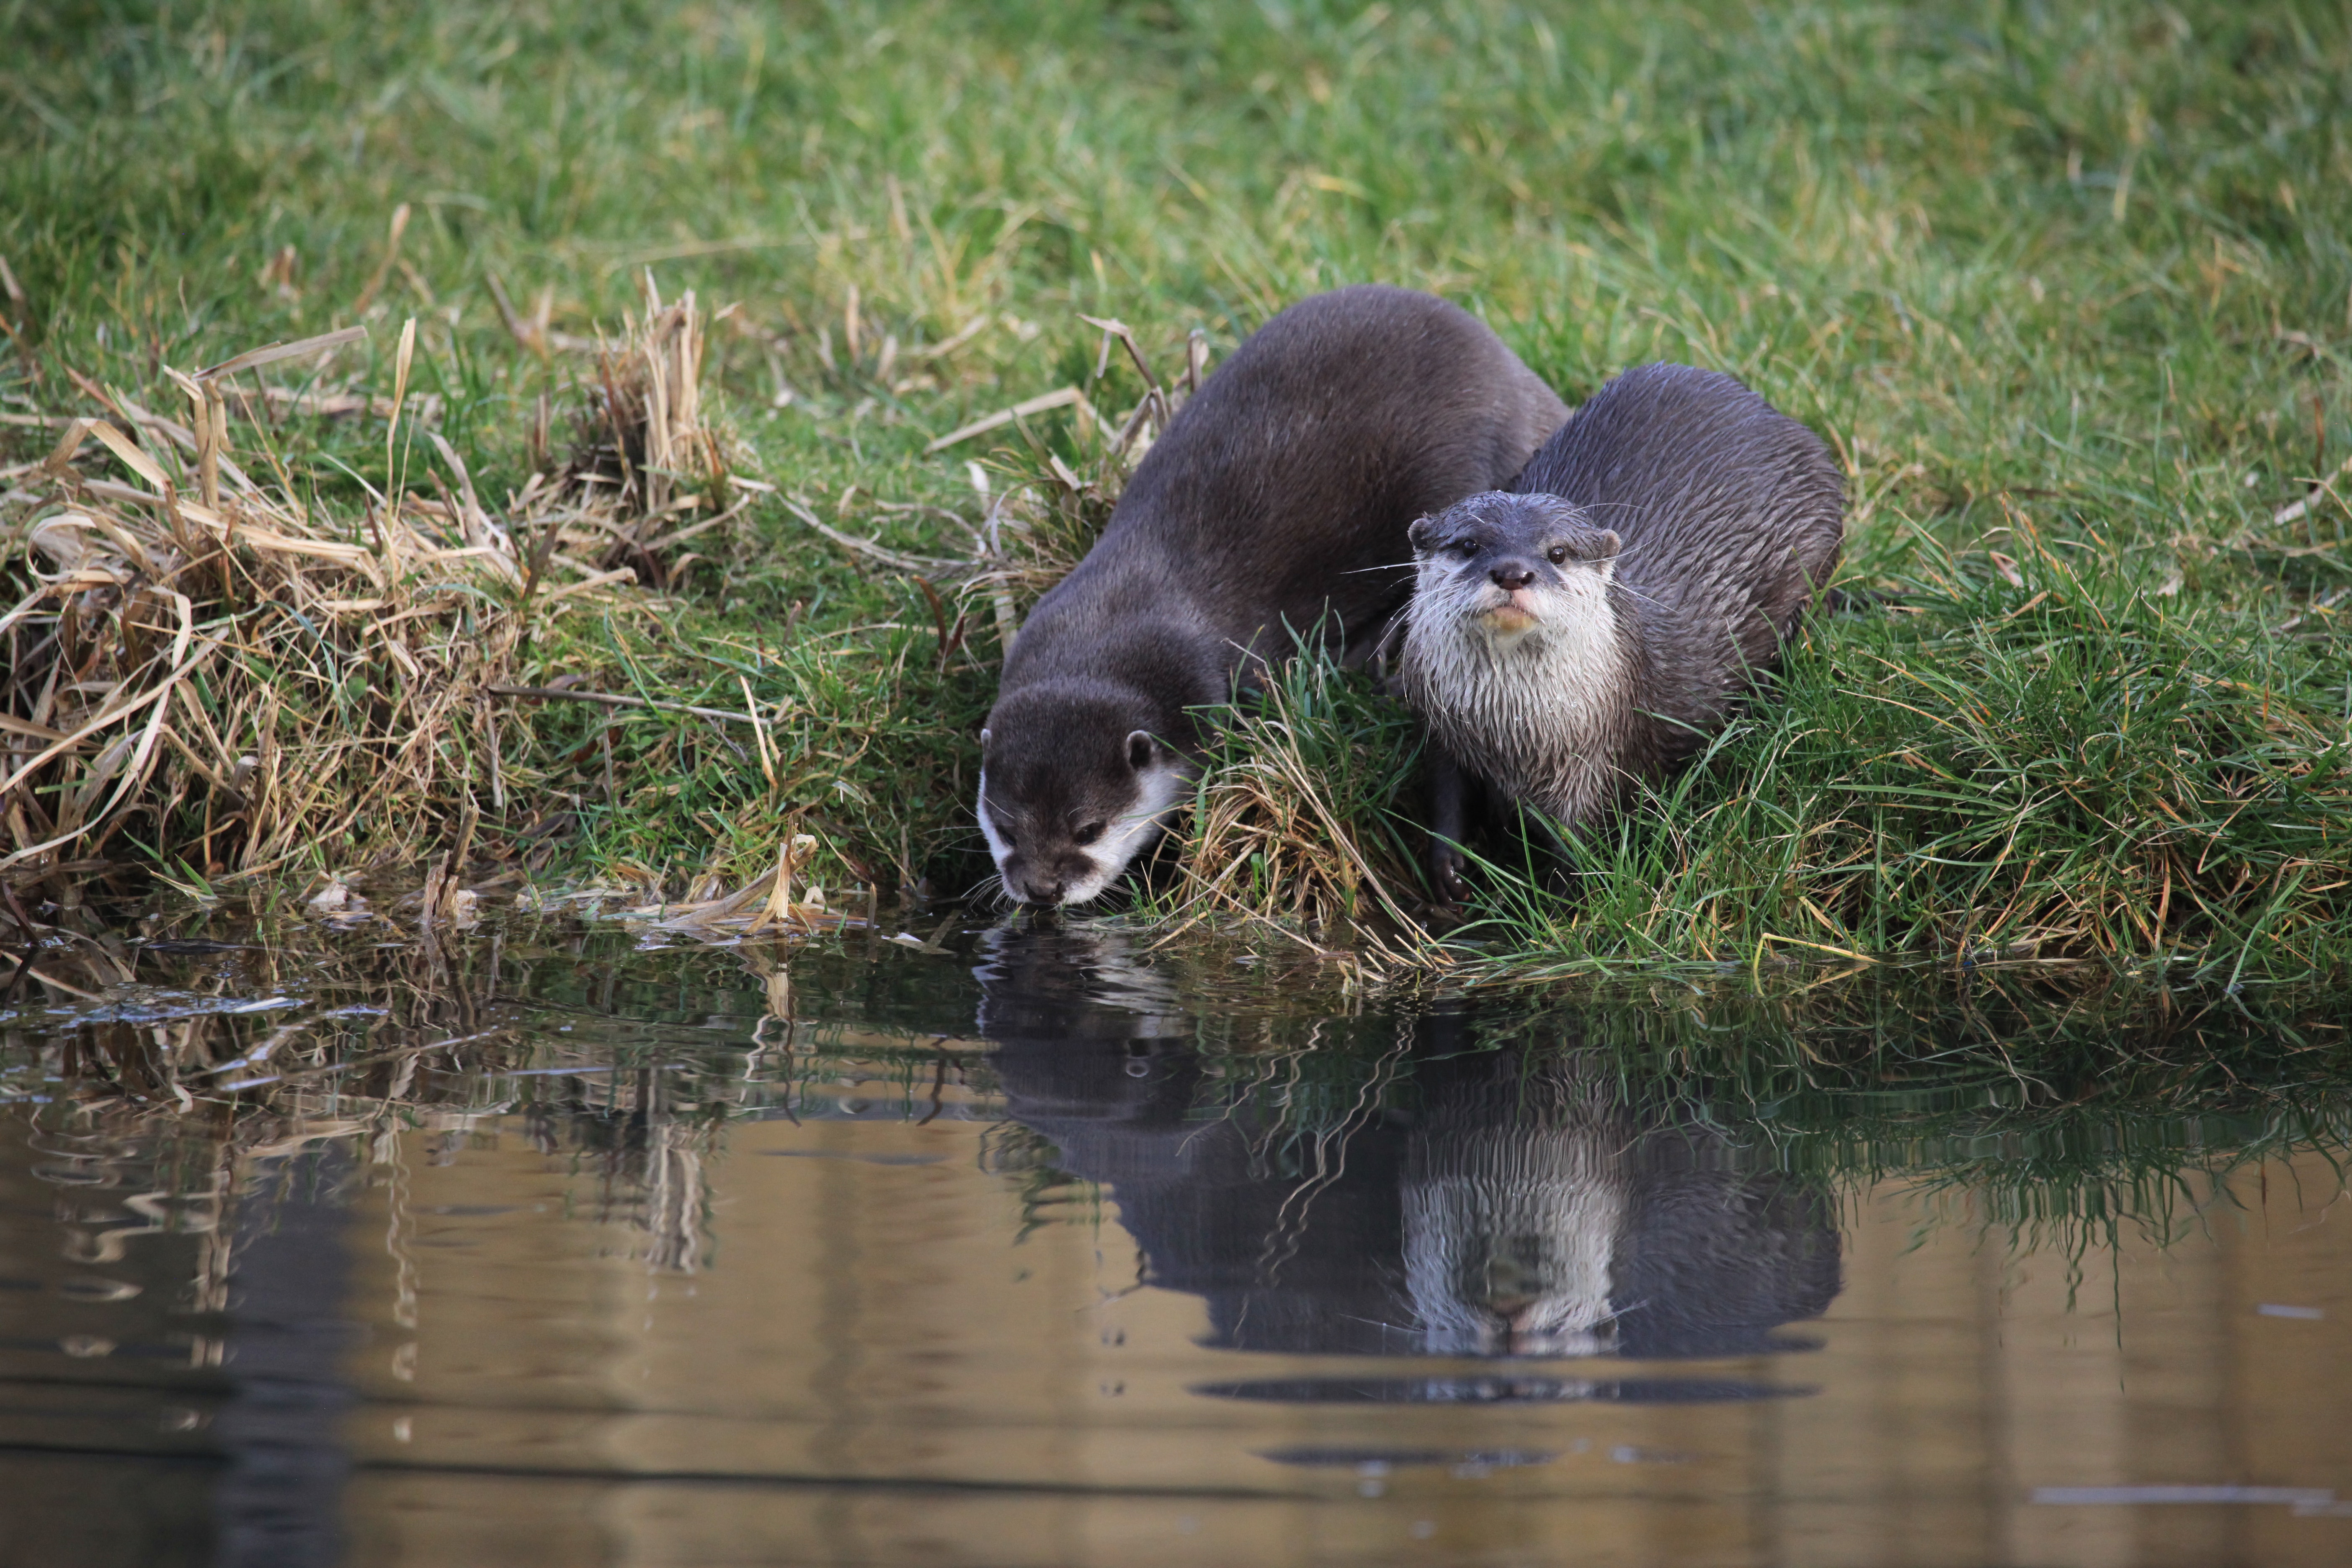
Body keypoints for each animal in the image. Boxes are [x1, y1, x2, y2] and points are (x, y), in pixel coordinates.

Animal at [1383, 359, 1844, 893]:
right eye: (1469, 545)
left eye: (1558, 552)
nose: (1513, 572)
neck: (1511, 737)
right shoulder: (1442, 731)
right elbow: (1445, 800)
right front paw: (1449, 871)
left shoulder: (1599, 763)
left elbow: (1579, 847)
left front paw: (1561, 899)